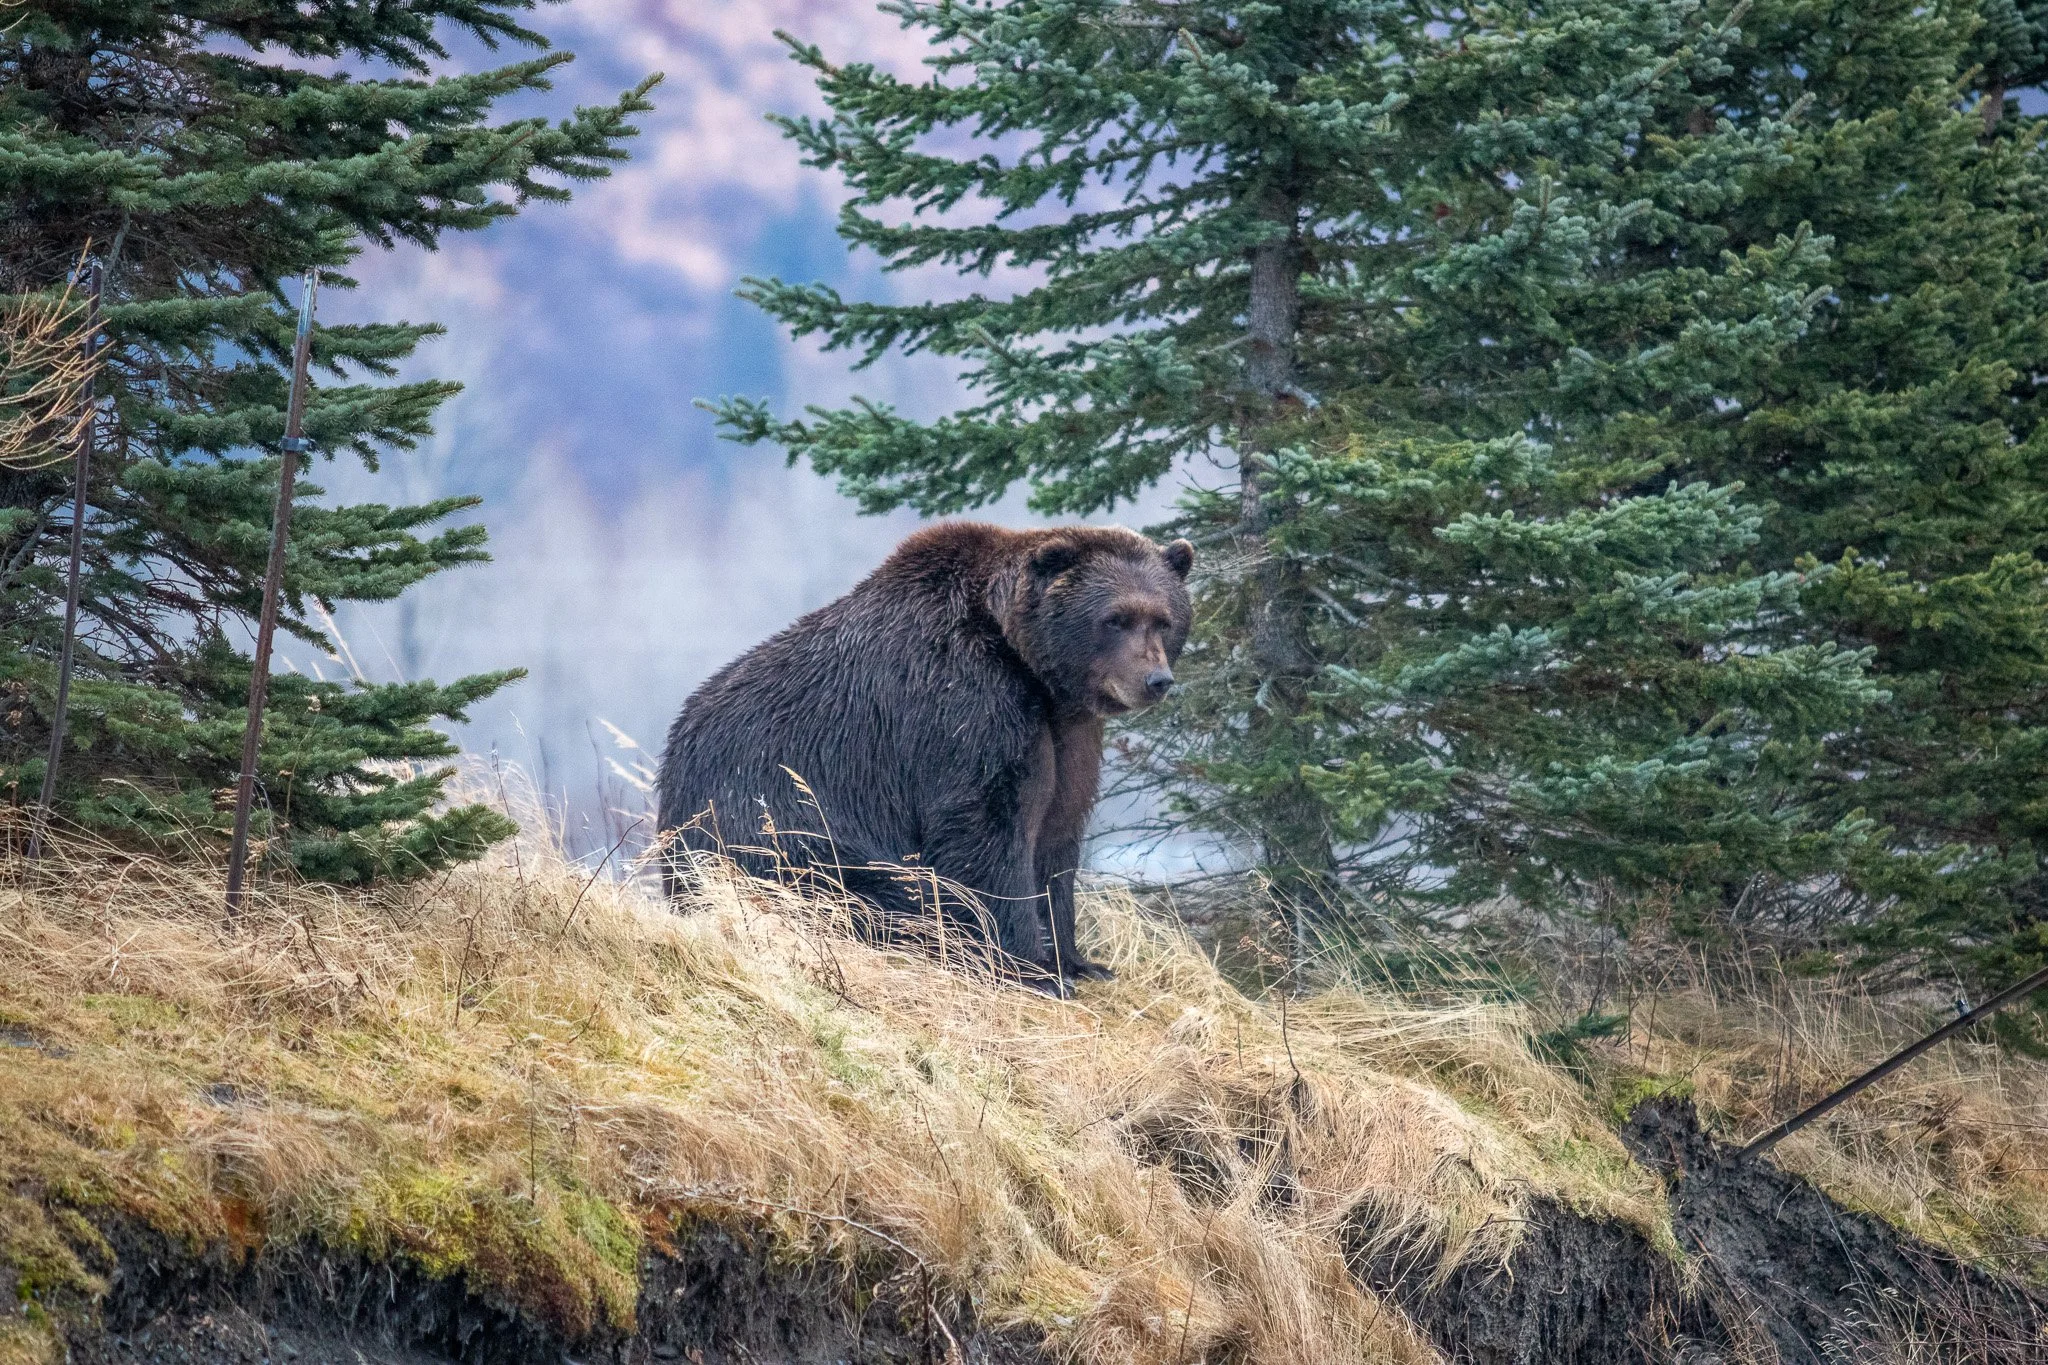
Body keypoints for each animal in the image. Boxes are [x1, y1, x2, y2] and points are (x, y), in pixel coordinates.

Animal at [654, 521, 1194, 988]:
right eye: (1115, 619)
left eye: (1163, 620)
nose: (1156, 680)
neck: (1028, 665)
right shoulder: (965, 703)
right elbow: (987, 830)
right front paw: (1033, 969)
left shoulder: (1068, 731)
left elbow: (1057, 833)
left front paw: (1079, 960)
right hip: (768, 818)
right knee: (873, 888)